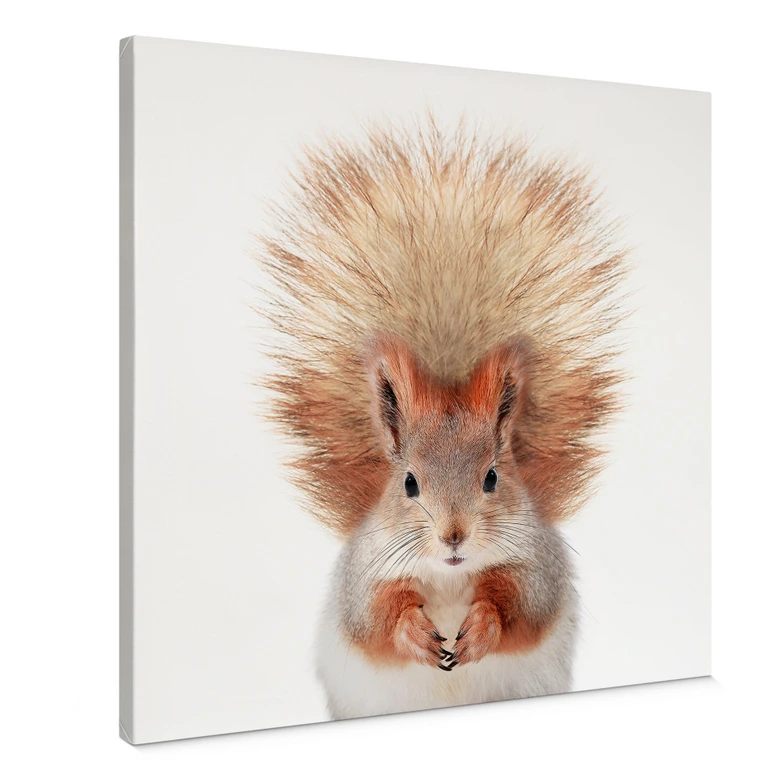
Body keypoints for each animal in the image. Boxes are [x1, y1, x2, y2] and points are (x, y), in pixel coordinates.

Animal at [255, 118, 628, 719]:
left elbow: (520, 607)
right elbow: (376, 618)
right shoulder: (365, 576)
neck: (450, 578)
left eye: (493, 478)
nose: (454, 535)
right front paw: (414, 633)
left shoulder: (537, 568)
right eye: (408, 483)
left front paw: (480, 630)